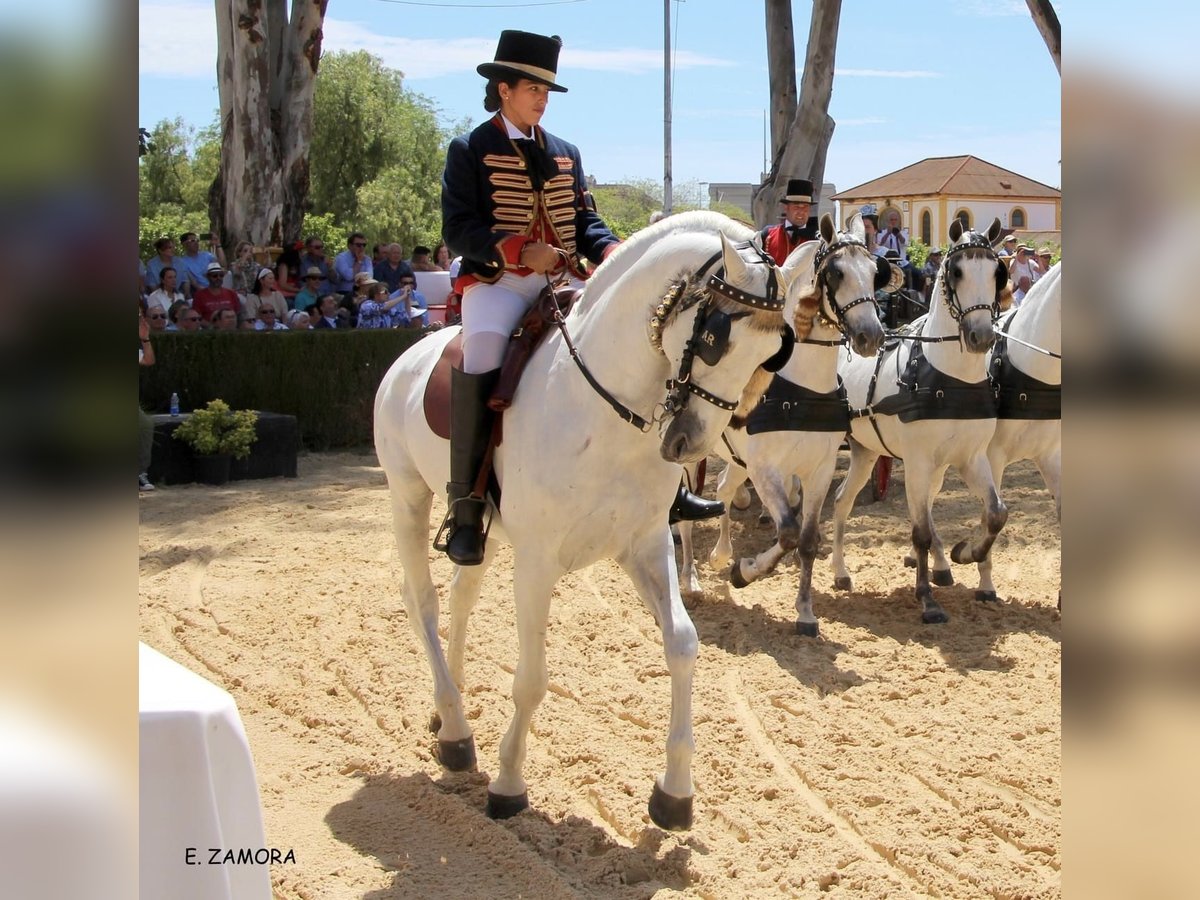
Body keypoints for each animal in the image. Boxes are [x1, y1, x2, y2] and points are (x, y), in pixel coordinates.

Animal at [372, 211, 806, 830]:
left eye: (774, 352)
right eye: (716, 339)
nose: (690, 444)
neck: (605, 412)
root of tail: (413, 355)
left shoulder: (645, 544)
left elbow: (683, 644)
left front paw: (675, 793)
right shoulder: (536, 564)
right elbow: (531, 679)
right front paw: (508, 783)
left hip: (480, 533)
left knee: (459, 595)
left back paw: (446, 707)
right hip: (407, 495)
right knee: (423, 603)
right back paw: (455, 730)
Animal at [676, 212, 892, 638]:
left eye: (875, 272)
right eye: (836, 273)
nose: (870, 336)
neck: (802, 386)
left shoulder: (818, 471)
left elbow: (806, 540)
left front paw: (805, 613)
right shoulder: (766, 470)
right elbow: (788, 532)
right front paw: (746, 571)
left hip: (737, 460)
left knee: (723, 490)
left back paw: (720, 553)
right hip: (696, 455)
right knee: (689, 513)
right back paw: (691, 578)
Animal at [830, 219, 1008, 628]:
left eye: (997, 273)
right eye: (956, 272)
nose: (981, 337)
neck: (950, 377)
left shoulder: (970, 458)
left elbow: (995, 513)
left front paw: (965, 553)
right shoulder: (917, 460)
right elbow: (922, 531)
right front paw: (927, 600)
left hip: (867, 453)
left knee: (844, 500)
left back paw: (845, 572)